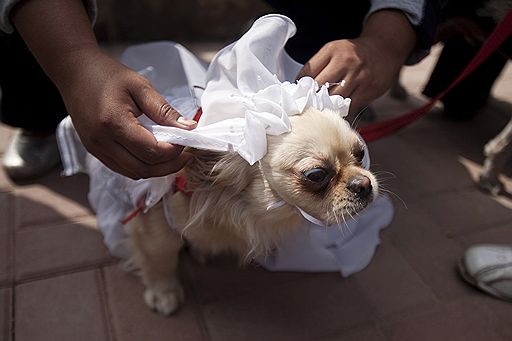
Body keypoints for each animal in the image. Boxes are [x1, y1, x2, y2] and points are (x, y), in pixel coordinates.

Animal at [126, 105, 378, 314]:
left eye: (360, 153)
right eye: (316, 175)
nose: (364, 184)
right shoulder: (153, 221)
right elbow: (159, 257)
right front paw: (163, 292)